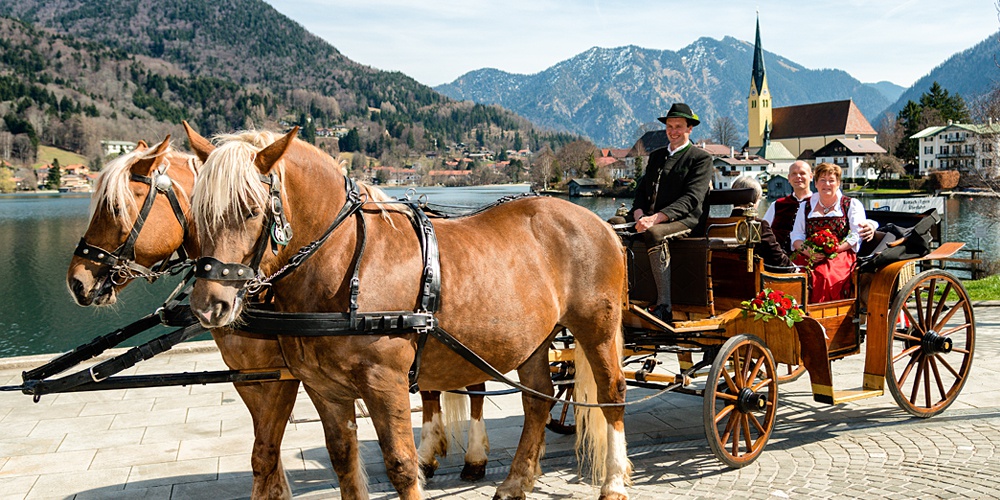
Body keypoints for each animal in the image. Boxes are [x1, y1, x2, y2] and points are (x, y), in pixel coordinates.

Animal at [186, 129, 632, 500]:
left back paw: (613, 482)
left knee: (611, 394)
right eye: (195, 215)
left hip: (596, 328)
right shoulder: (322, 388)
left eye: (250, 209)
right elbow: (343, 461)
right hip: (535, 339)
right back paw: (516, 481)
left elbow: (401, 465)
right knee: (537, 400)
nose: (209, 304)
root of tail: (601, 224)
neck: (343, 260)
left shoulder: (386, 383)